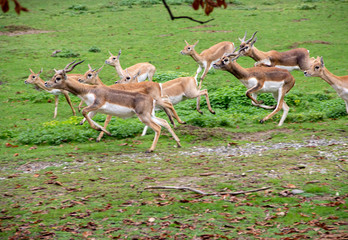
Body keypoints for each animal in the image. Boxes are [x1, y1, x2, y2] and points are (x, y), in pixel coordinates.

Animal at [45, 61, 182, 153]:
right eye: (53, 76)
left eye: (58, 78)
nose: (46, 83)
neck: (89, 90)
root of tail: (151, 98)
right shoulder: (95, 110)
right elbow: (88, 118)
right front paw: (106, 132)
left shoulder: (97, 104)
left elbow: (84, 112)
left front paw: (99, 132)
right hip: (150, 114)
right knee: (164, 122)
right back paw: (178, 143)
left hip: (144, 116)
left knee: (158, 127)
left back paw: (151, 149)